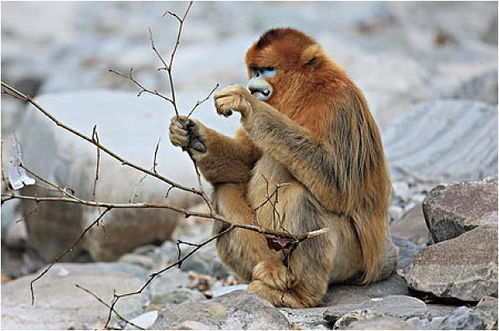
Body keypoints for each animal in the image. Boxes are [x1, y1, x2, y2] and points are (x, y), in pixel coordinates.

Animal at [170, 28, 396, 308]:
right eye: (255, 70)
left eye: (267, 70)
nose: (253, 86)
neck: (306, 90)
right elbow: (246, 162)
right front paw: (192, 135)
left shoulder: (339, 104)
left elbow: (338, 186)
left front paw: (245, 103)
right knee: (226, 190)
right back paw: (272, 272)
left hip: (351, 259)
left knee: (299, 196)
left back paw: (301, 294)